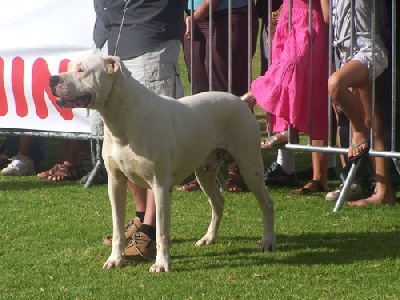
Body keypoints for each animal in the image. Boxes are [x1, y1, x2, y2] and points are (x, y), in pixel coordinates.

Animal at [48, 55, 276, 272]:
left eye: (82, 70)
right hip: (205, 171)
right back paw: (208, 238)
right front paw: (115, 259)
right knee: (218, 202)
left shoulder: (160, 186)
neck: (123, 116)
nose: (52, 79)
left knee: (267, 203)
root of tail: (240, 99)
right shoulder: (115, 182)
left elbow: (161, 232)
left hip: (250, 167)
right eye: (69, 67)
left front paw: (161, 264)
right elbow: (117, 227)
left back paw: (267, 241)